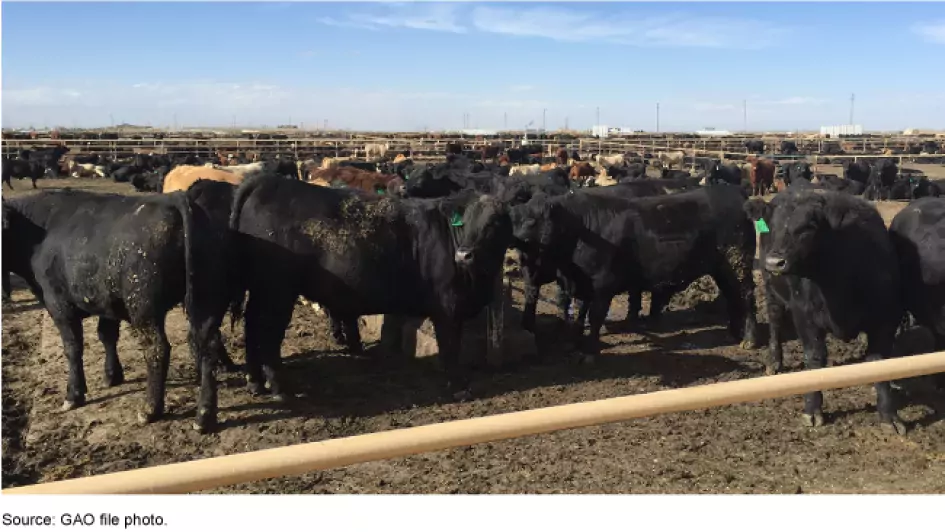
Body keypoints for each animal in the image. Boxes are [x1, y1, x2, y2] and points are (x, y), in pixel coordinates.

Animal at [1, 189, 227, 430]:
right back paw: (204, 416)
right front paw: (112, 375)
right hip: (206, 302)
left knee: (157, 349)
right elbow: (107, 336)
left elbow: (73, 348)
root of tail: (175, 198)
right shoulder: (105, 301)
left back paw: (150, 409)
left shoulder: (59, 304)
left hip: (143, 307)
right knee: (209, 346)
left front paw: (74, 394)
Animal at [226, 174, 512, 400]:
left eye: (496, 222)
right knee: (267, 333)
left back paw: (255, 382)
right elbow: (451, 347)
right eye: (464, 221)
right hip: (277, 291)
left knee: (252, 326)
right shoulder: (447, 307)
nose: (464, 254)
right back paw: (279, 387)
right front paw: (459, 386)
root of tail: (265, 180)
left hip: (264, 290)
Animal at [508, 185, 760, 360]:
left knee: (746, 296)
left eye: (531, 221)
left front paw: (590, 351)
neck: (581, 228)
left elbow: (595, 316)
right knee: (732, 295)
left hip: (738, 265)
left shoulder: (602, 284)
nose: (515, 242)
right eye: (514, 219)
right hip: (721, 269)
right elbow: (581, 313)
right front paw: (574, 343)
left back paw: (750, 339)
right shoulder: (583, 284)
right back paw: (733, 332)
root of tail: (735, 193)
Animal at [744, 189, 908, 434]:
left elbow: (880, 362)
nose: (774, 262)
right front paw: (812, 410)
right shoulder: (805, 316)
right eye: (771, 225)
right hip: (772, 291)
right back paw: (774, 361)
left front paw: (889, 416)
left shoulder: (886, 319)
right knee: (775, 323)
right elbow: (814, 358)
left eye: (808, 227)